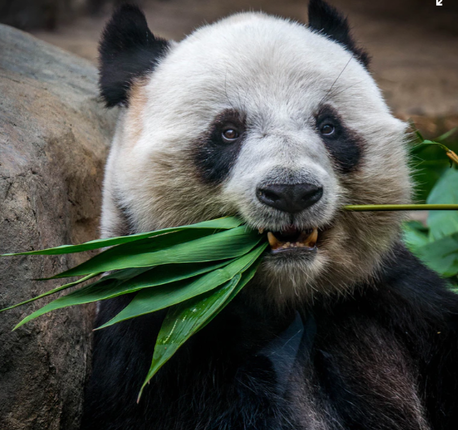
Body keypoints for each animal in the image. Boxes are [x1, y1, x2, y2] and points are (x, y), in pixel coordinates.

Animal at [80, 1, 458, 428]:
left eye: (328, 126)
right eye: (228, 131)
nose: (291, 192)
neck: (287, 295)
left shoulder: (397, 303)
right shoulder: (162, 337)